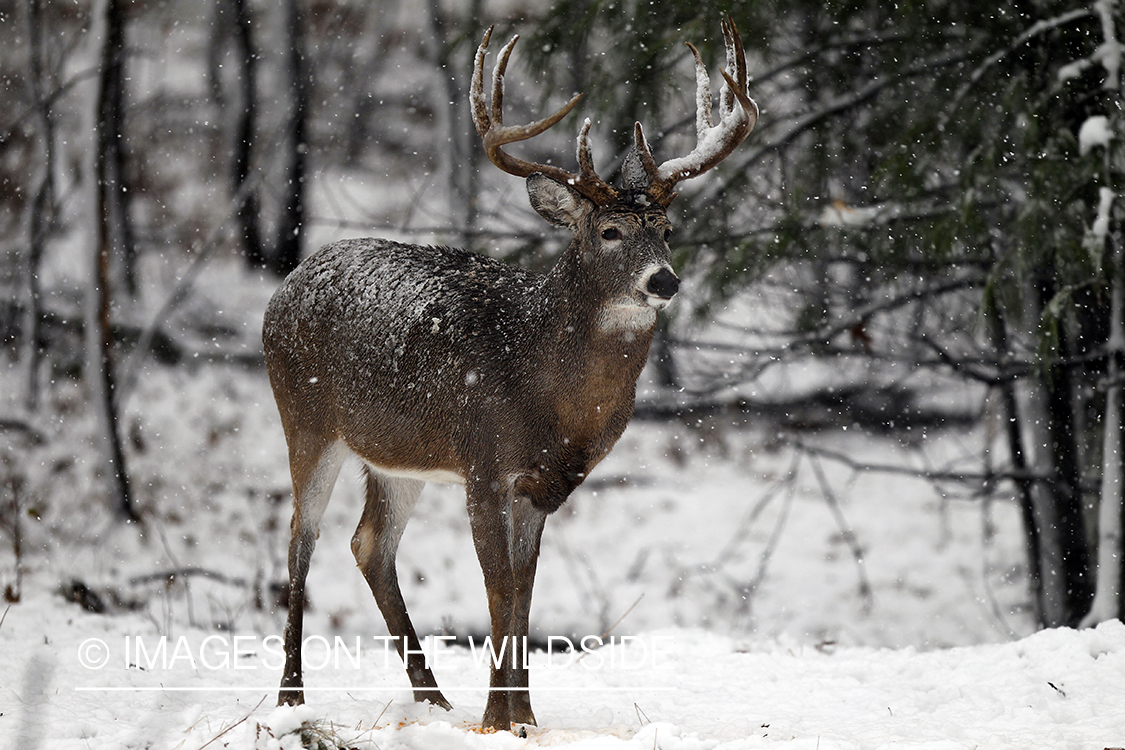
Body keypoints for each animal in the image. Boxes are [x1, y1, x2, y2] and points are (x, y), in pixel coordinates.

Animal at [262, 17, 756, 733]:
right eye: (608, 231)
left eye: (666, 228)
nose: (663, 280)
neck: (547, 391)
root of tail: (285, 286)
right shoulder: (483, 459)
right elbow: (496, 584)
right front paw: (497, 719)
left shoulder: (543, 482)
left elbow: (525, 587)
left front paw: (524, 715)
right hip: (305, 419)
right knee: (300, 541)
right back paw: (291, 699)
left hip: (394, 454)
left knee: (369, 544)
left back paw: (433, 700)